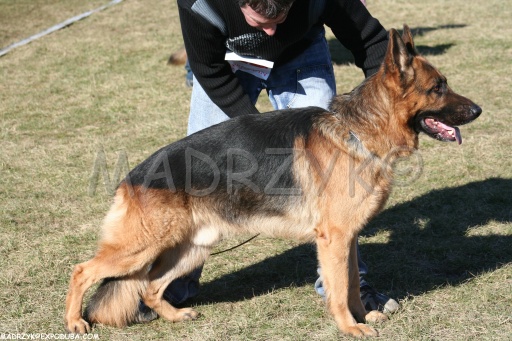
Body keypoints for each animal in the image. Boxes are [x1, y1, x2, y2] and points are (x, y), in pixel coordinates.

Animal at [63, 25, 480, 336]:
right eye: (438, 87)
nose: (479, 110)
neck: (358, 131)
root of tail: (130, 177)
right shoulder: (333, 240)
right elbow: (339, 290)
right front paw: (349, 327)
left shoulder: (348, 239)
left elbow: (351, 284)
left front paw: (363, 316)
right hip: (140, 247)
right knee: (82, 270)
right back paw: (75, 322)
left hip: (192, 247)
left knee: (149, 286)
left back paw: (175, 316)